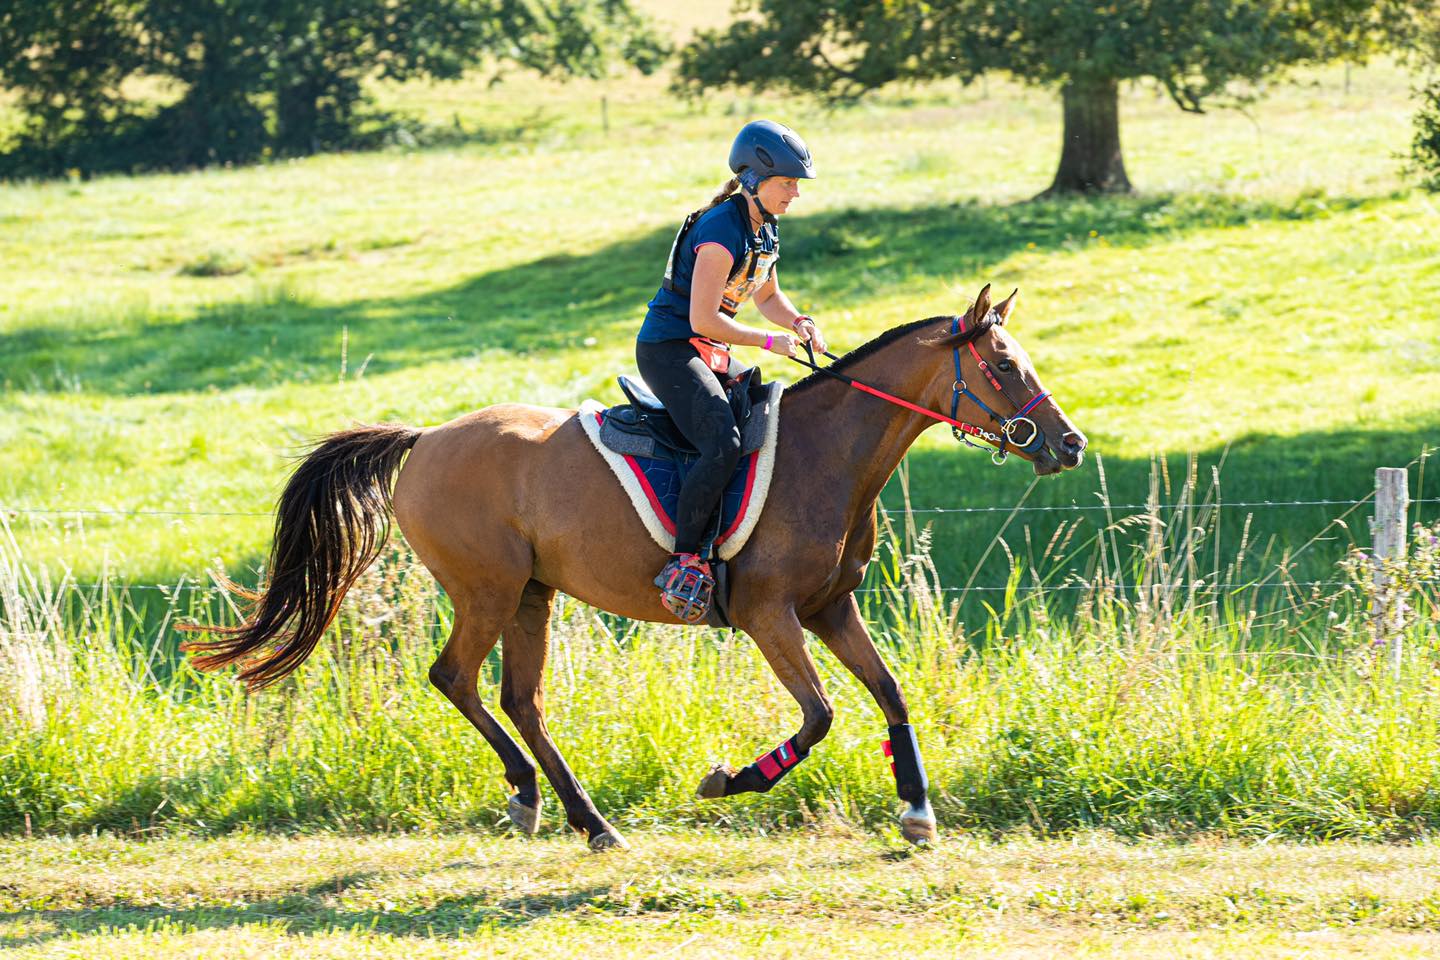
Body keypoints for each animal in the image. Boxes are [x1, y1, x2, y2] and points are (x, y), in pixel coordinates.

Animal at [188, 283, 1088, 846]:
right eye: (1004, 366)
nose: (1071, 444)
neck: (827, 454)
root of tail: (426, 438)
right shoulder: (769, 615)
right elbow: (822, 715)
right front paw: (732, 779)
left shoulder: (831, 609)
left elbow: (890, 694)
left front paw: (917, 812)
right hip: (487, 589)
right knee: (455, 678)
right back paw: (540, 799)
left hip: (532, 595)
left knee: (520, 698)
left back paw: (580, 818)